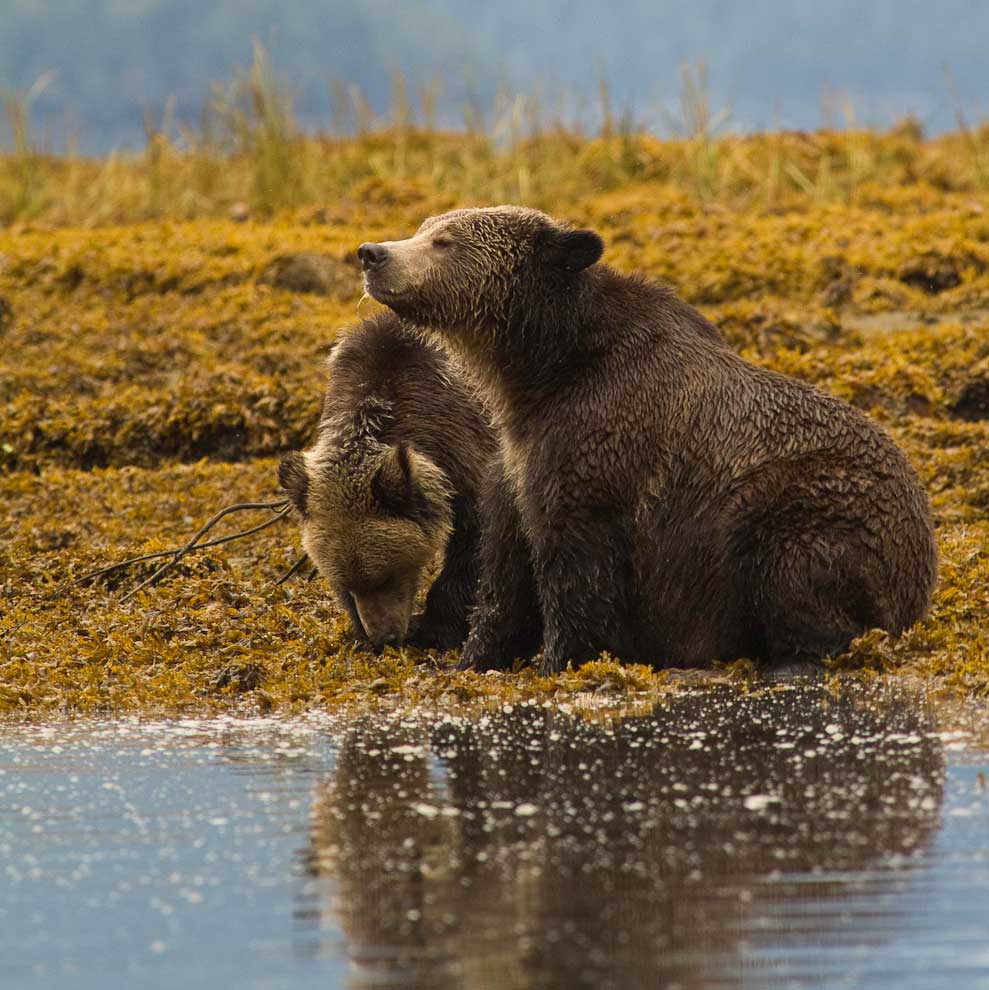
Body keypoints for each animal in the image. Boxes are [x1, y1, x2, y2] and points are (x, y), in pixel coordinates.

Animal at [278, 310, 497, 651]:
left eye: (386, 576)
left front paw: (437, 627)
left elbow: (472, 546)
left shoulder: (465, 451)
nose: (384, 637)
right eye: (348, 586)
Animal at [357, 206, 938, 673]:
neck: (535, 372)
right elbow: (503, 569)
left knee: (793, 568)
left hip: (808, 510)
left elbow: (575, 566)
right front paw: (469, 660)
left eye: (445, 240)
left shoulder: (598, 448)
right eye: (423, 228)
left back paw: (792, 658)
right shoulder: (517, 459)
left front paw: (558, 659)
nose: (372, 253)